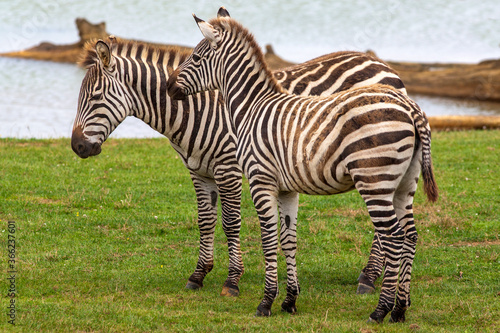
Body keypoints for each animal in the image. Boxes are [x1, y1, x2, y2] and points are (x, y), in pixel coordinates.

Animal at [72, 9, 408, 300]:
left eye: (95, 97)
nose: (77, 147)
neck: (196, 109)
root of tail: (385, 67)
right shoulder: (198, 171)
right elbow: (205, 220)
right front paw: (198, 275)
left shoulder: (229, 168)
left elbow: (231, 221)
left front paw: (232, 280)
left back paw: (368, 278)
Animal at [165, 13, 438, 322]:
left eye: (197, 57)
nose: (168, 87)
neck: (252, 107)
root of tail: (410, 106)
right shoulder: (287, 189)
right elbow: (288, 239)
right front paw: (289, 300)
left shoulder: (260, 180)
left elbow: (268, 238)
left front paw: (266, 302)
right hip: (404, 183)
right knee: (410, 236)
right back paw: (400, 309)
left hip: (374, 181)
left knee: (393, 236)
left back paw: (380, 309)